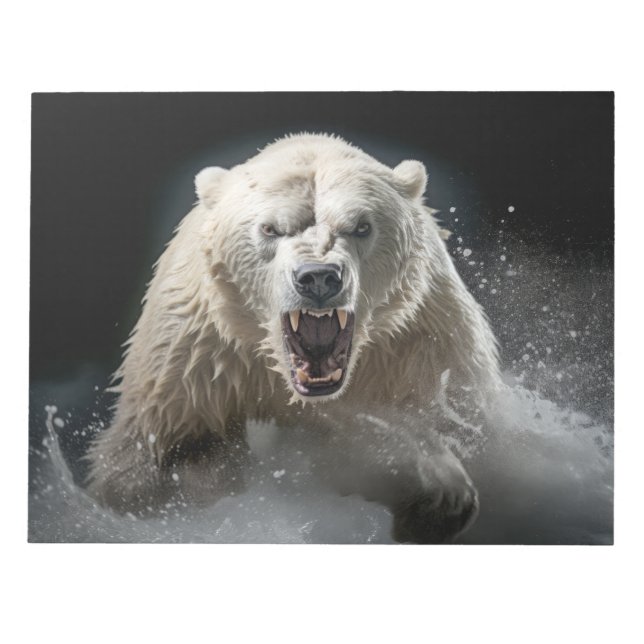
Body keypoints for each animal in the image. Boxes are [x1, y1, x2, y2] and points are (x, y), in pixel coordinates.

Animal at [86, 133, 501, 543]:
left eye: (361, 226)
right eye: (270, 228)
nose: (318, 277)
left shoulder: (424, 342)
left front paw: (432, 491)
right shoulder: (195, 355)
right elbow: (142, 462)